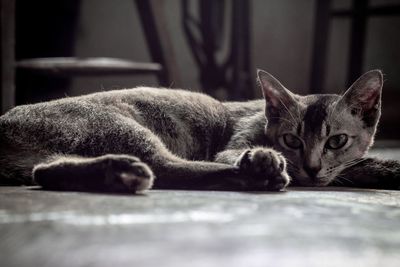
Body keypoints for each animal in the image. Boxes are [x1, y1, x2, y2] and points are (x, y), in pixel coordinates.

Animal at [0, 69, 398, 194]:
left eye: (337, 140)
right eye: (291, 140)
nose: (313, 168)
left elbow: (354, 166)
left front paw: (386, 169)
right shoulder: (238, 142)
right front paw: (270, 161)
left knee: (44, 171)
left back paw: (116, 173)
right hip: (118, 124)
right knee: (165, 167)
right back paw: (256, 174)